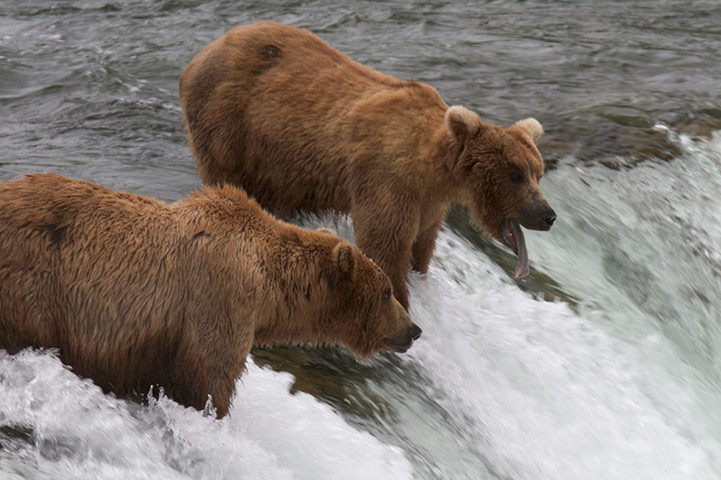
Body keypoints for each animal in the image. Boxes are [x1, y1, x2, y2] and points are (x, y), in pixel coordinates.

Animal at [0, 173, 420, 418]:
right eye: (386, 292)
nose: (413, 329)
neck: (268, 287)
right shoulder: (218, 300)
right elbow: (209, 378)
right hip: (33, 285)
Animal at [179, 21, 557, 311]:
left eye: (537, 172)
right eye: (515, 173)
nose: (548, 215)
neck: (433, 172)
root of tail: (200, 55)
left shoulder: (429, 205)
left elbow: (421, 247)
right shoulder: (388, 181)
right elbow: (385, 246)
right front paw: (399, 302)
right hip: (228, 124)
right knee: (226, 176)